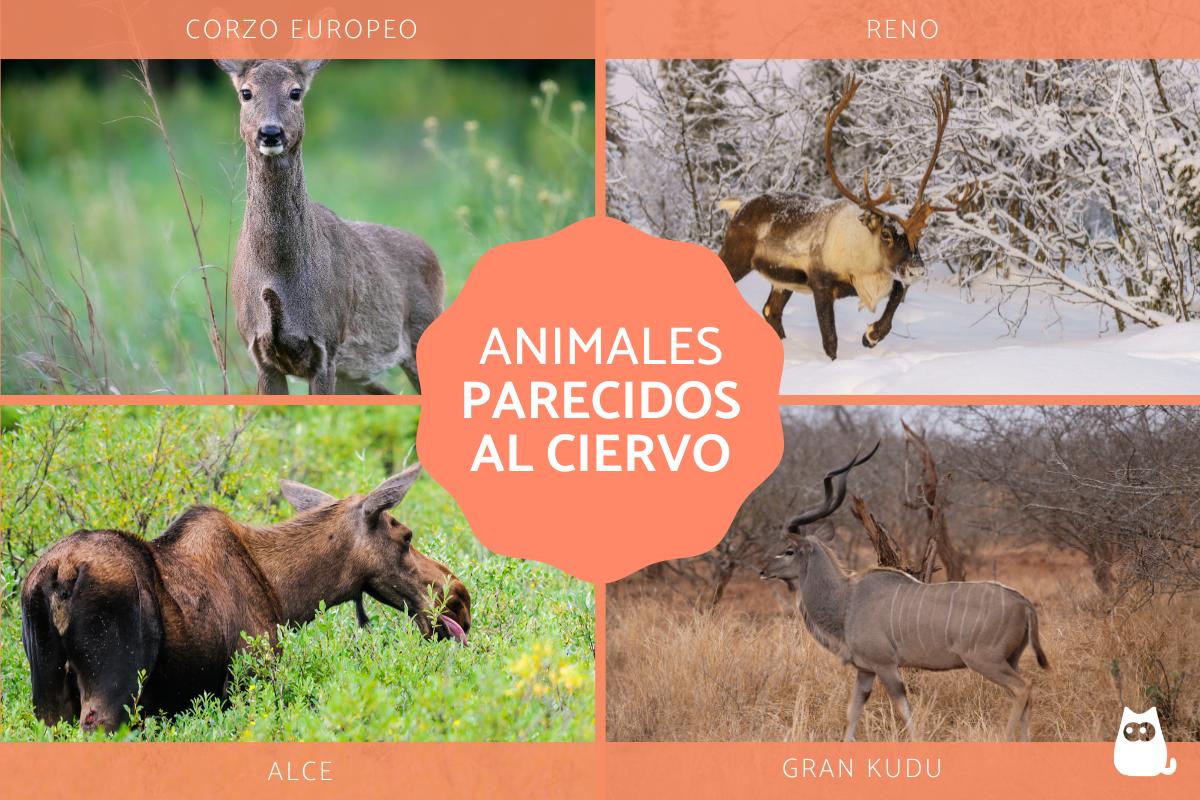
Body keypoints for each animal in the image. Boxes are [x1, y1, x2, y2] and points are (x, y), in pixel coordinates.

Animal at [20, 464, 470, 733]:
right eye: (405, 536)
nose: (460, 599)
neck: (286, 595)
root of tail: (58, 577)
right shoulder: (252, 675)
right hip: (113, 693)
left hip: (48, 702)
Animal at [216, 59, 444, 394]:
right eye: (246, 92)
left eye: (295, 92)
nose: (270, 131)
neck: (277, 274)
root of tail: (432, 253)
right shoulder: (258, 349)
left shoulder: (327, 345)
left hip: (420, 331)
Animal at [718, 76, 977, 360]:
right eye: (886, 234)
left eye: (919, 235)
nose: (917, 268)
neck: (863, 258)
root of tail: (739, 207)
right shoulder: (820, 284)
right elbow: (830, 339)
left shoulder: (873, 281)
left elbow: (897, 294)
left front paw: (871, 335)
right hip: (735, 256)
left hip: (781, 281)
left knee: (771, 310)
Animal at [759, 445, 1049, 741]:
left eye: (789, 550)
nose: (762, 570)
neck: (847, 601)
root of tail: (1024, 603)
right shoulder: (865, 670)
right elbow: (853, 712)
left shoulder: (886, 666)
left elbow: (903, 709)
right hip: (1010, 660)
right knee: (1025, 693)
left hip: (986, 661)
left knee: (1023, 688)